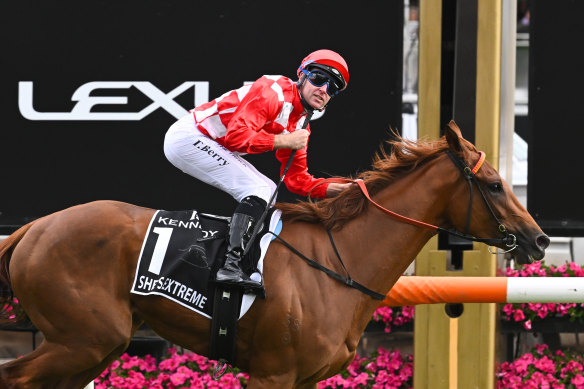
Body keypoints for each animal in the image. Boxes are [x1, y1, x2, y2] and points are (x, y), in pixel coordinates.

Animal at [0, 119, 548, 386]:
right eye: (494, 185)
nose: (539, 240)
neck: (338, 263)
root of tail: (32, 229)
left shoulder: (305, 380)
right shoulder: (273, 373)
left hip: (93, 347)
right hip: (84, 339)